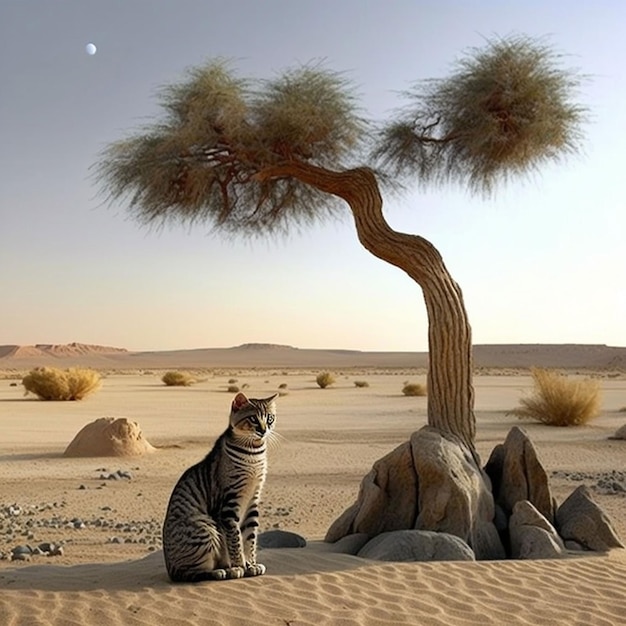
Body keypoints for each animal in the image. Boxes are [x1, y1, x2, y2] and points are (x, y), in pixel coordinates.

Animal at [162, 390, 276, 580]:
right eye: (253, 418)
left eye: (269, 418)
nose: (263, 430)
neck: (254, 453)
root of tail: (169, 569)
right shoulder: (229, 505)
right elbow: (234, 540)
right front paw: (238, 566)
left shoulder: (253, 500)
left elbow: (249, 539)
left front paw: (251, 564)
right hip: (204, 527)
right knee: (190, 573)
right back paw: (220, 571)